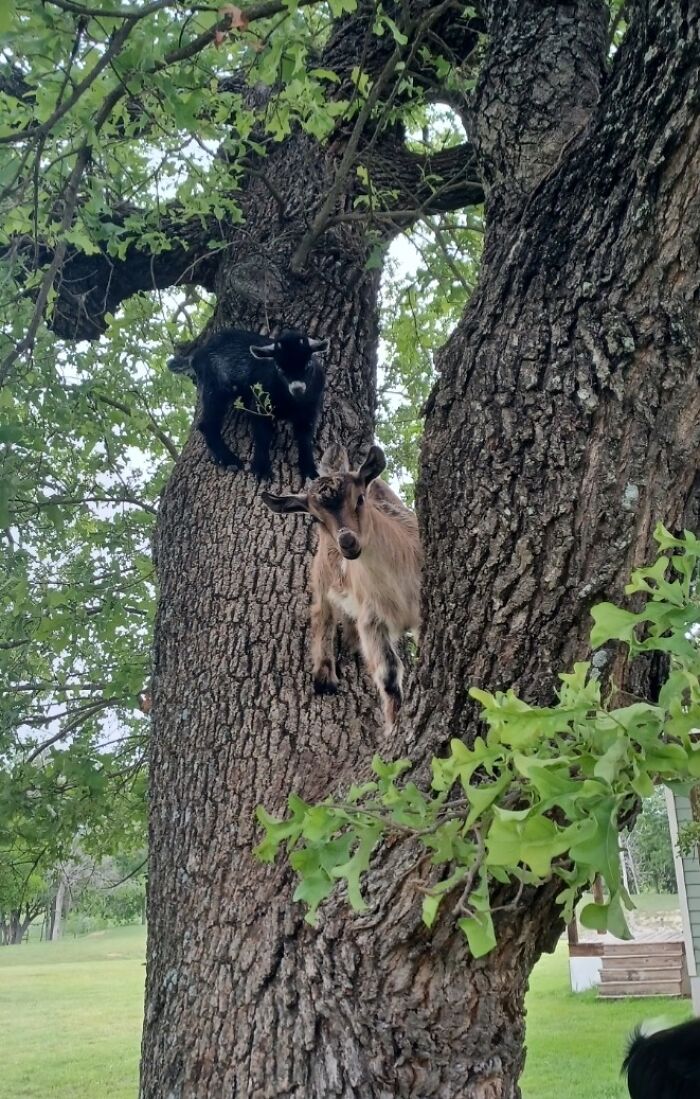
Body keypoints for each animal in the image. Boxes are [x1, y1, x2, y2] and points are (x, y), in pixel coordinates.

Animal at [168, 328, 328, 480]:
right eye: (279, 367)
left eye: (308, 364)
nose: (297, 389)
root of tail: (196, 355)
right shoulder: (259, 404)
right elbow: (262, 435)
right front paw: (261, 468)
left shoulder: (311, 408)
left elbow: (305, 438)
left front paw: (309, 469)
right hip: (215, 384)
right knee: (207, 424)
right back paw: (229, 460)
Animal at [261, 444, 422, 730]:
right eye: (316, 519)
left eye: (360, 499)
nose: (347, 541)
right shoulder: (372, 621)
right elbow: (389, 676)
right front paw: (392, 727)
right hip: (321, 575)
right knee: (321, 614)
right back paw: (325, 675)